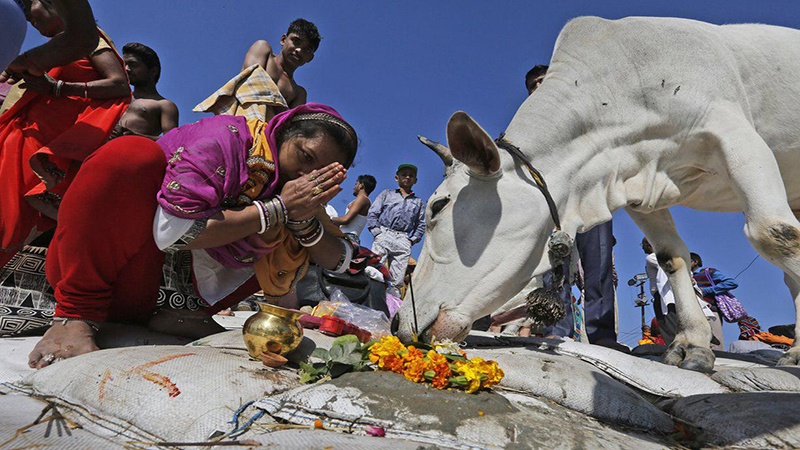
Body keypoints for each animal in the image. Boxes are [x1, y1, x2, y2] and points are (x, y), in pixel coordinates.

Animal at [396, 14, 800, 372]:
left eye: (438, 206)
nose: (399, 324)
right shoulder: (639, 188)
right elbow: (671, 257)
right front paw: (693, 345)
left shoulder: (736, 133)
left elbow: (773, 234)